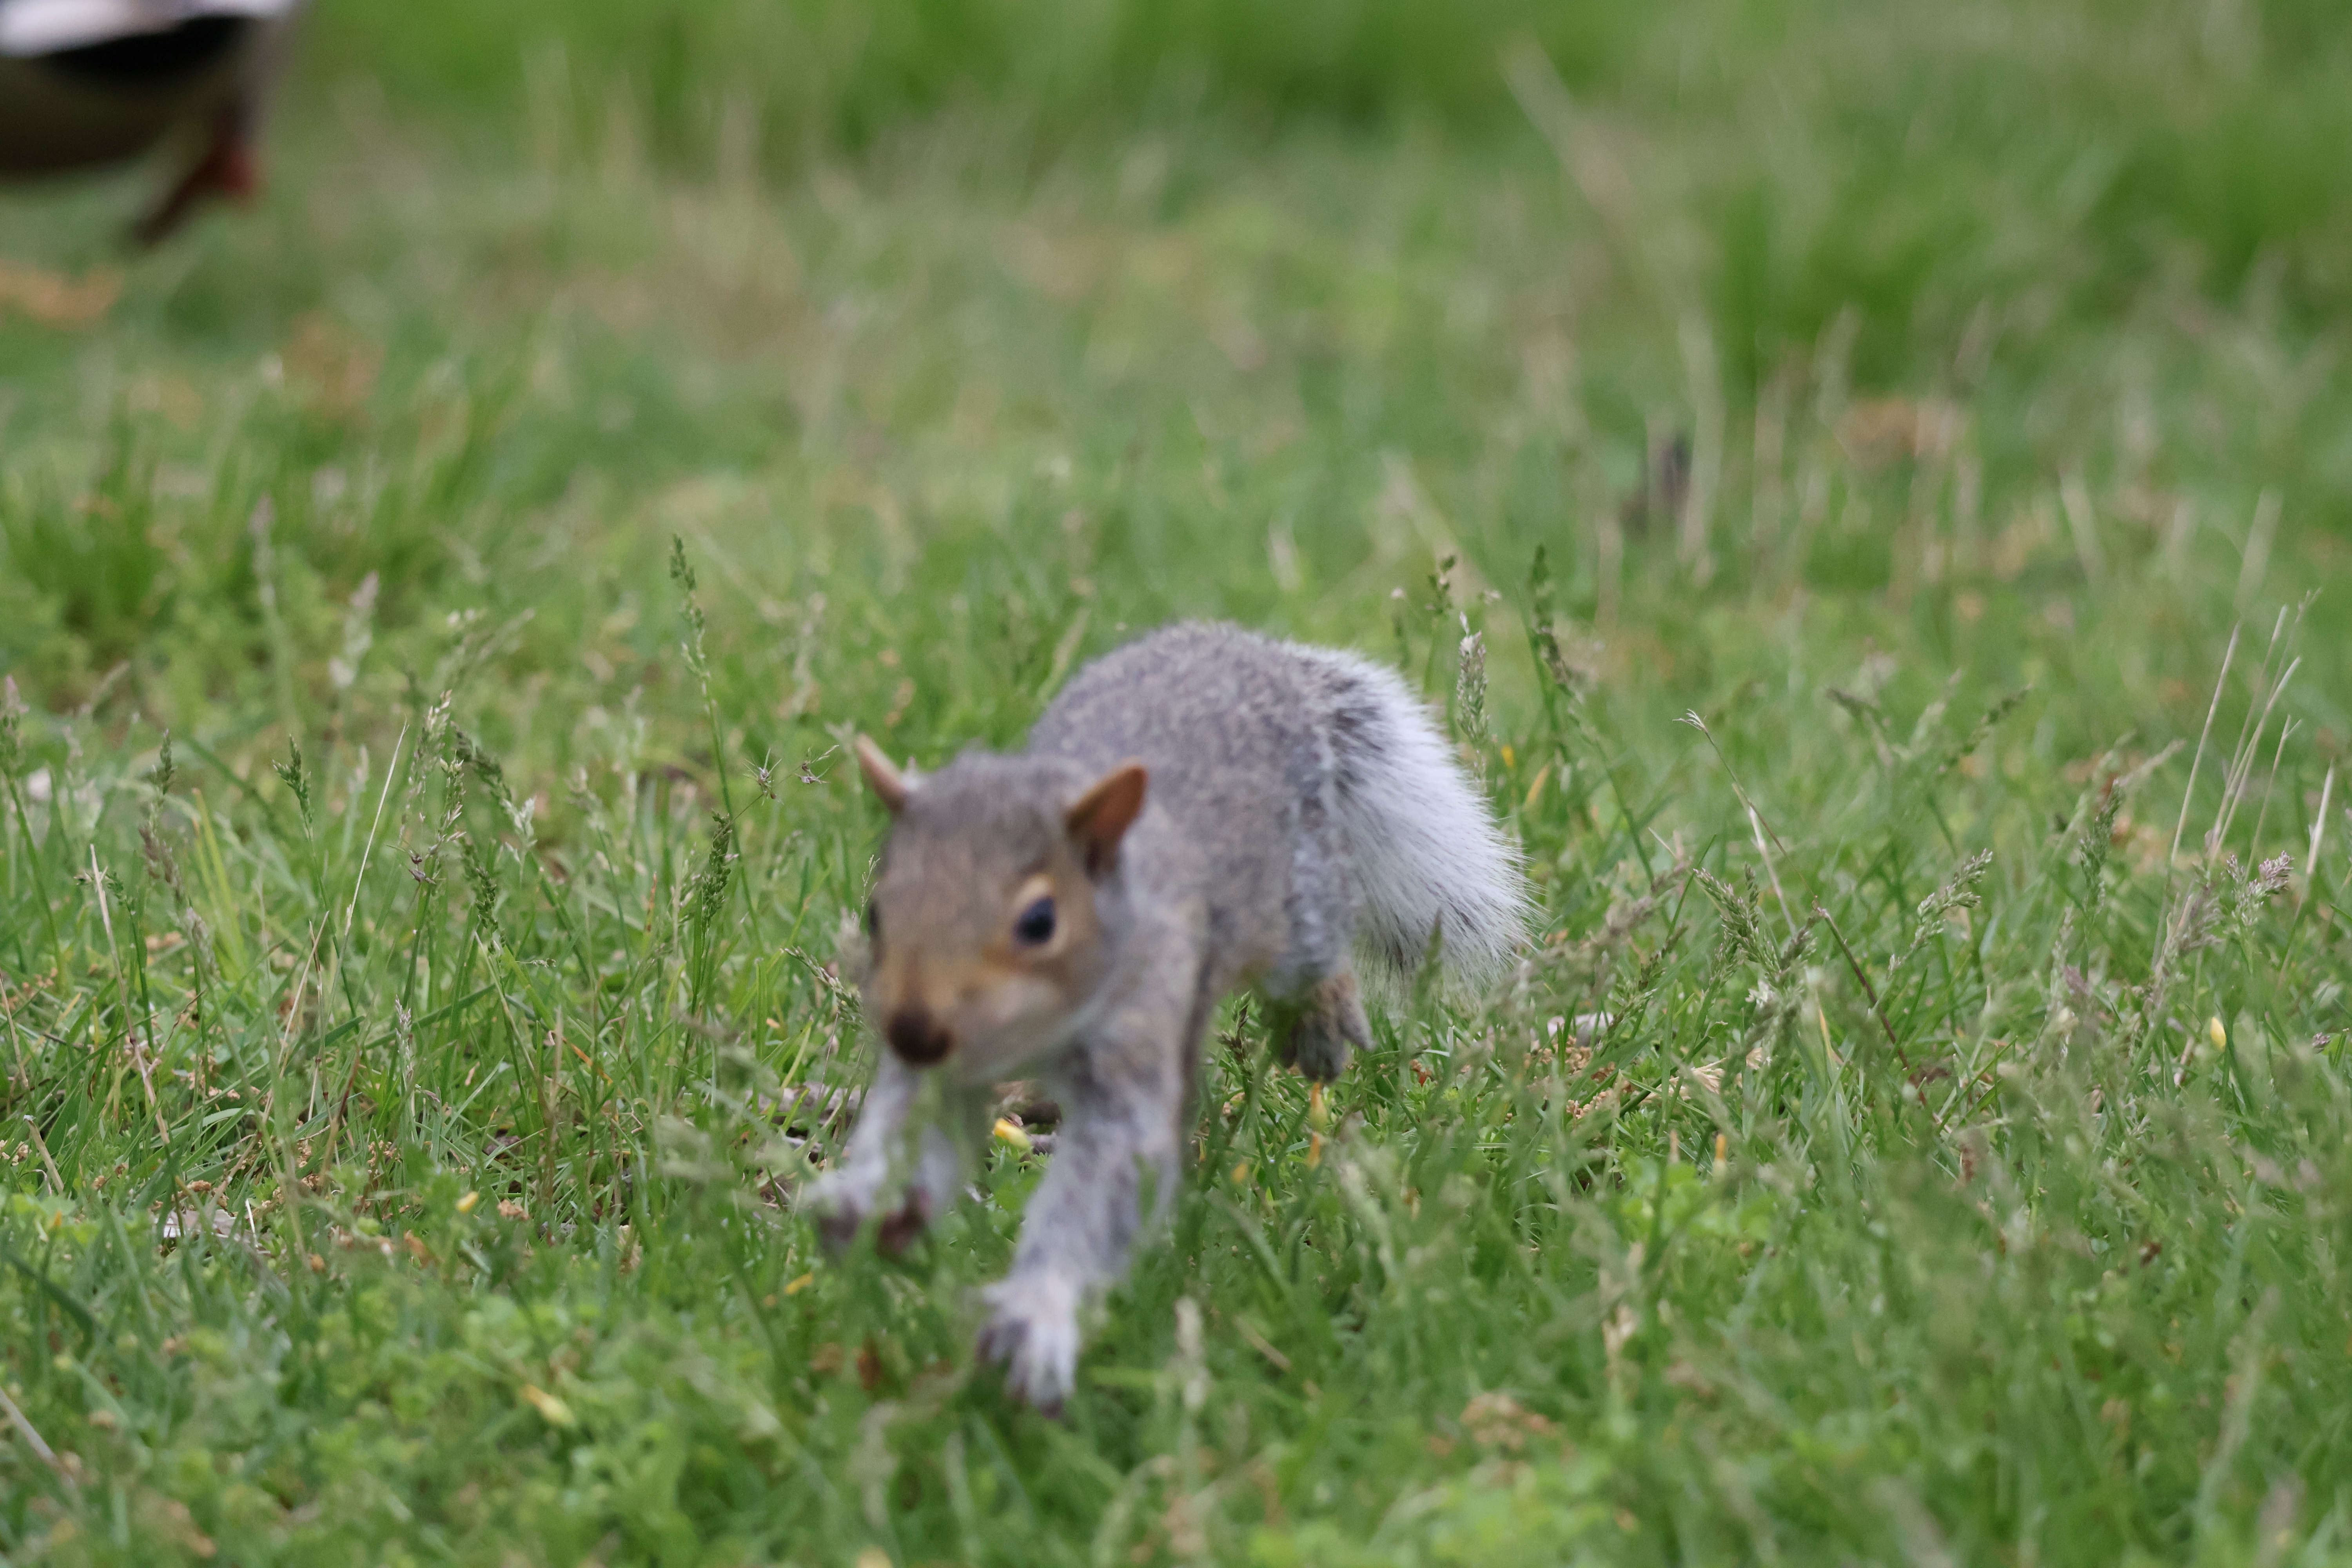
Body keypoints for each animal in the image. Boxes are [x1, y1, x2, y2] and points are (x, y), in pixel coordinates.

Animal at [809, 620, 1528, 1410]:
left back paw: (1322, 1018)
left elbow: (1111, 1177)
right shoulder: (946, 1072)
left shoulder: (1137, 1035)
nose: (913, 1030)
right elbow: (918, 1129)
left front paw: (1039, 1310)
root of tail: (1247, 651)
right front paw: (863, 1201)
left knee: (1317, 951)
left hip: (1298, 901)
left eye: (1040, 921)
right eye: (877, 913)